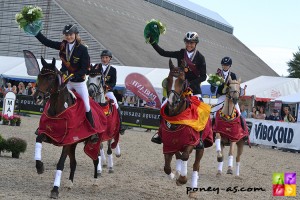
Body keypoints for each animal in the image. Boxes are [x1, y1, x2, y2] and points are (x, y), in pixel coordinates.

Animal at [32, 57, 105, 199]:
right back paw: (70, 183)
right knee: (74, 163)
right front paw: (39, 166)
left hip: (92, 143)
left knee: (96, 158)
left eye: (50, 78)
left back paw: (95, 181)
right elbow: (38, 139)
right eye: (39, 76)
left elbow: (60, 164)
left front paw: (55, 190)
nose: (38, 97)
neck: (58, 108)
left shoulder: (66, 143)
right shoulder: (50, 135)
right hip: (74, 144)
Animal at [158, 58, 212, 198]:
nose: (172, 102)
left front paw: (182, 179)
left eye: (182, 81)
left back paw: (192, 189)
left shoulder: (191, 142)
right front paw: (173, 175)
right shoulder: (168, 143)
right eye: (168, 80)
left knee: (196, 165)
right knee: (179, 156)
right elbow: (167, 166)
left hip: (201, 147)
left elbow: (186, 157)